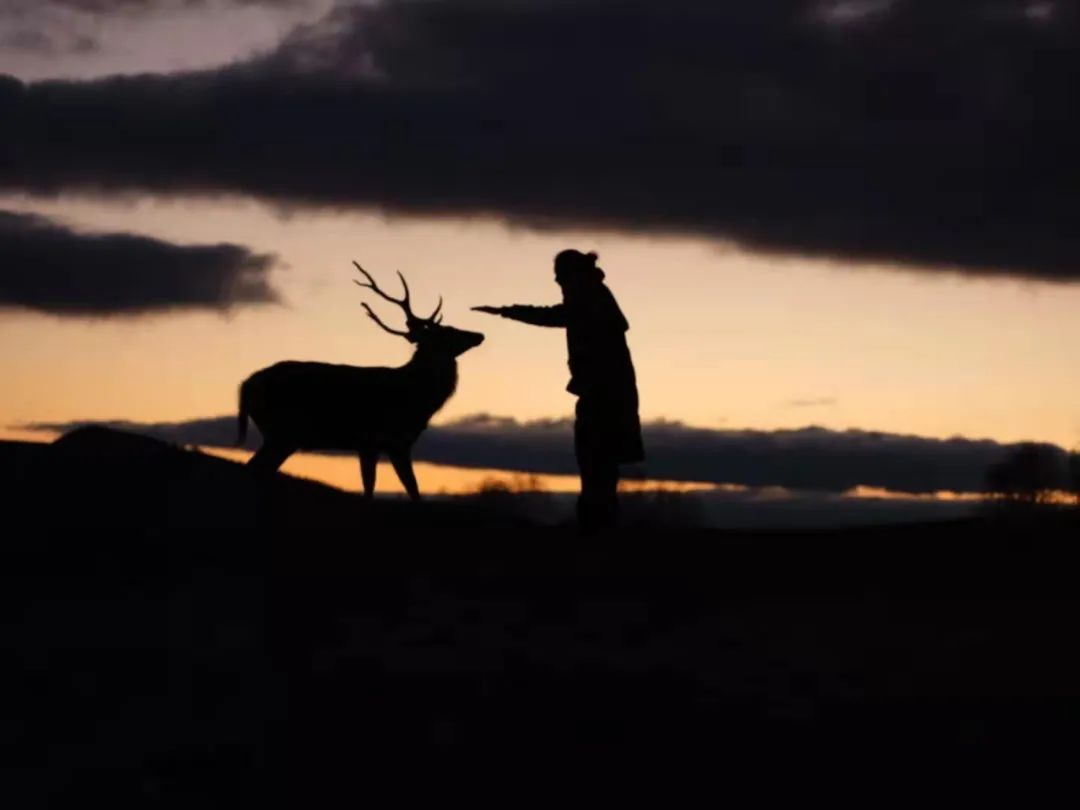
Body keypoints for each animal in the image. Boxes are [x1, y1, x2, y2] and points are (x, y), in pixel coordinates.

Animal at [241, 263, 490, 501]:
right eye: (448, 332)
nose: (479, 335)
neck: (417, 403)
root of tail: (245, 384)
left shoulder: (388, 444)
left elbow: (406, 489)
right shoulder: (378, 440)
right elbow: (390, 489)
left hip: (281, 435)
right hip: (281, 432)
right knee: (254, 469)